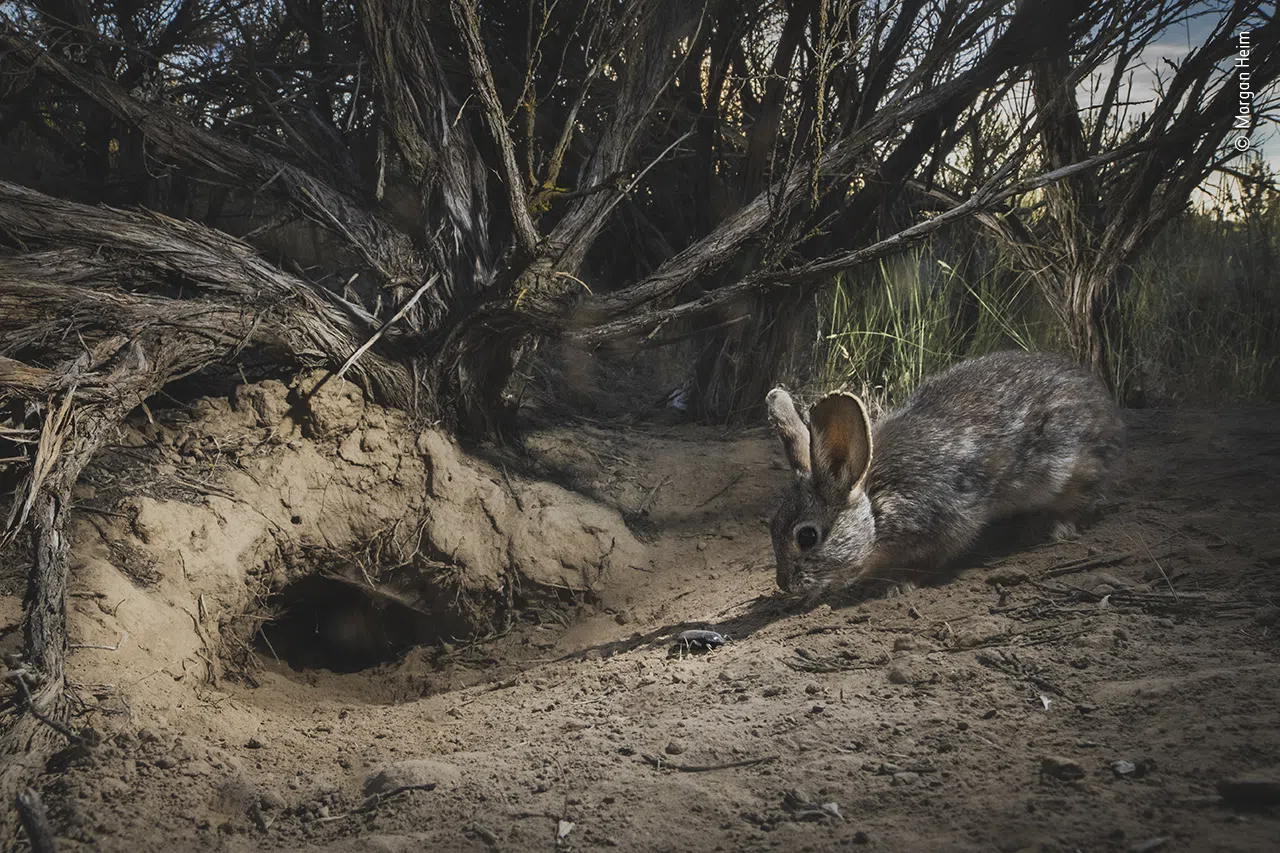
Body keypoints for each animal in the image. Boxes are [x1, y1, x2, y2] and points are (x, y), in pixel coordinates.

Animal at [762, 348, 1126, 594]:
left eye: (807, 537)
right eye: (773, 525)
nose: (784, 584)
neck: (875, 504)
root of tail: (1105, 405)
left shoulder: (947, 520)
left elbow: (934, 558)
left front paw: (898, 584)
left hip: (1072, 469)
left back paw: (1053, 528)